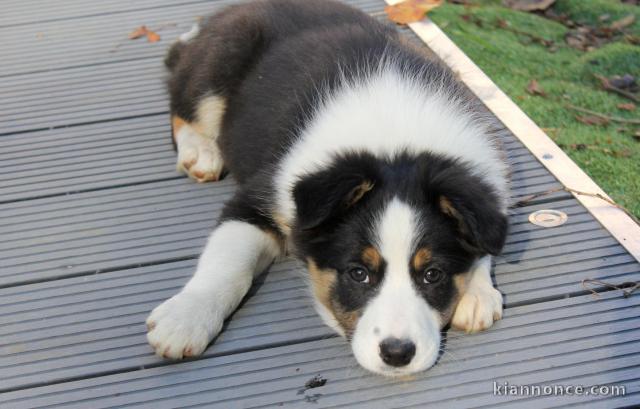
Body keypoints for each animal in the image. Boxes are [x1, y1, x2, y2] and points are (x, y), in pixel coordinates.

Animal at [146, 0, 510, 376]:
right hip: (221, 61)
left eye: (432, 275)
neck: (393, 142)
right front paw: (184, 319)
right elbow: (227, 264)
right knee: (182, 104)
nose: (397, 354)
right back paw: (200, 152)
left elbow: (487, 240)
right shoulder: (256, 199)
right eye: (358, 274)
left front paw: (478, 293)